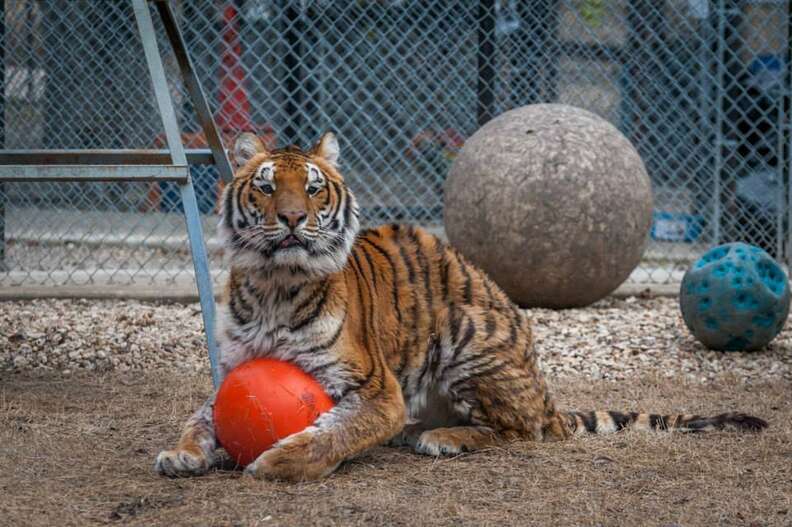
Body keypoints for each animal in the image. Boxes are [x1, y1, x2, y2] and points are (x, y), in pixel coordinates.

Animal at [155, 131, 768, 482]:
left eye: (312, 188)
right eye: (264, 187)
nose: (290, 218)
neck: (273, 285)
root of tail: (546, 395)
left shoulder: (376, 389)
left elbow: (332, 433)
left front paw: (277, 460)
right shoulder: (231, 372)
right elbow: (200, 418)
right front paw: (181, 454)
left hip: (467, 335)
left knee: (524, 432)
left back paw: (441, 438)